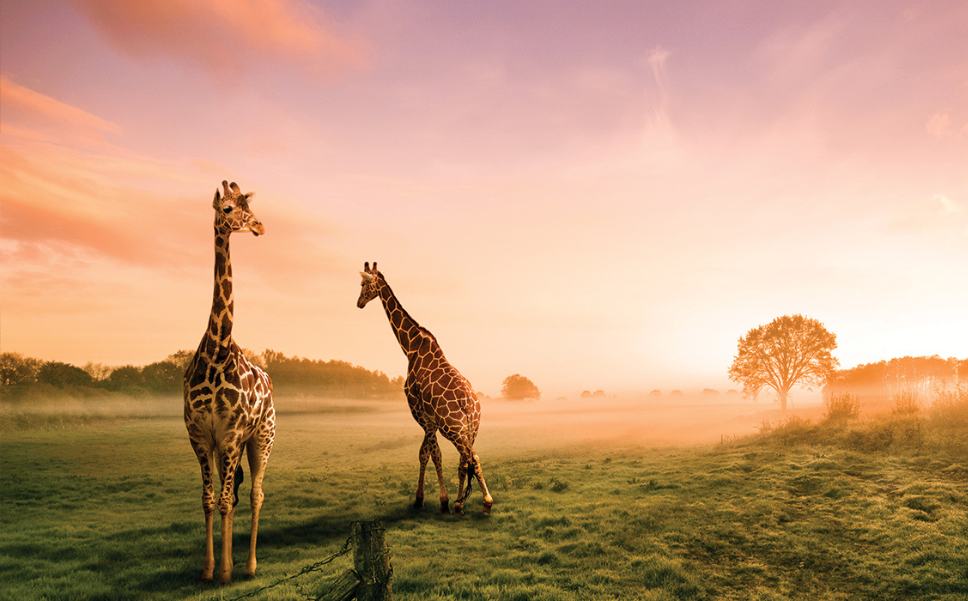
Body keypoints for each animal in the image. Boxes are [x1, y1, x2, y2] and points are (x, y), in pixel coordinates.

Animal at [357, 262, 493, 515]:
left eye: (362, 284)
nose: (359, 302)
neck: (410, 347)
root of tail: (468, 403)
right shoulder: (430, 419)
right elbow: (428, 452)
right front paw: (440, 500)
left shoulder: (420, 413)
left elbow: (430, 454)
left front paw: (434, 500)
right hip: (472, 428)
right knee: (466, 460)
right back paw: (461, 503)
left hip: (453, 428)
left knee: (472, 458)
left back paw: (485, 503)